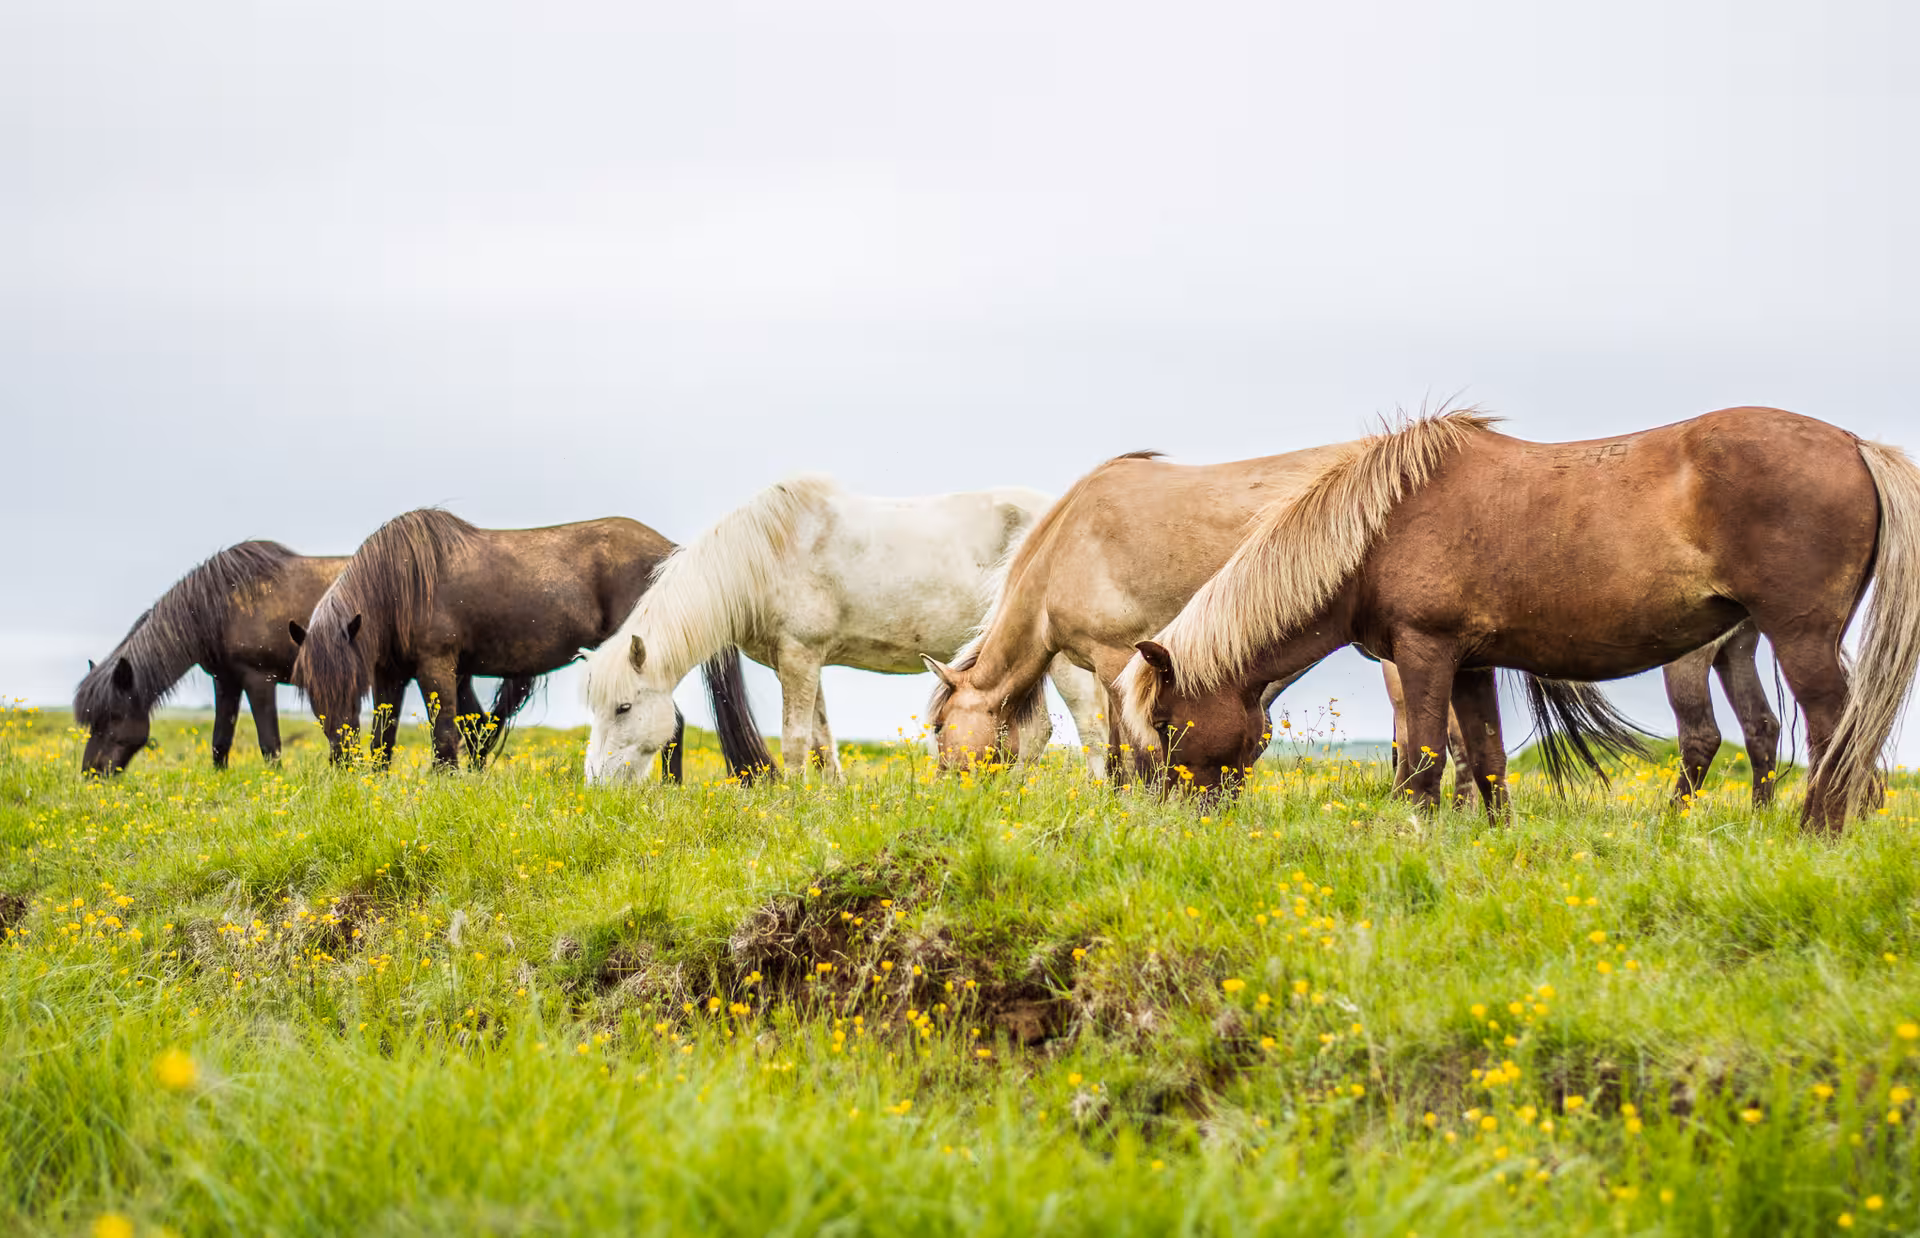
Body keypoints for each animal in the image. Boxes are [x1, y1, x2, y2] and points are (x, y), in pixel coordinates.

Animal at [74, 542, 349, 774]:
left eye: (111, 716)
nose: (90, 773)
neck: (221, 608)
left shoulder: (260, 680)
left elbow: (270, 744)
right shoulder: (226, 681)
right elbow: (220, 741)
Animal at [290, 508, 755, 778]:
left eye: (352, 690)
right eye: (313, 694)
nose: (340, 762)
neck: (402, 583)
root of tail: (672, 552)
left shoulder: (436, 667)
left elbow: (445, 733)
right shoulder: (394, 675)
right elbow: (391, 738)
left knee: (672, 724)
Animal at [582, 475, 1102, 785]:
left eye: (623, 707)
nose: (597, 782)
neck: (766, 554)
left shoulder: (799, 657)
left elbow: (794, 739)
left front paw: (790, 803)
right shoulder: (800, 662)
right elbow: (820, 739)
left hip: (1056, 659)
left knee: (1087, 725)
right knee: (1035, 732)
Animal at [1114, 407, 1919, 832]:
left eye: (1166, 724)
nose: (1170, 819)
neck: (1379, 527)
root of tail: (1854, 444)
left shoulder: (1425, 652)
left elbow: (1425, 759)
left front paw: (1412, 831)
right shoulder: (1470, 663)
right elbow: (1488, 757)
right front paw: (1492, 836)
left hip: (1798, 636)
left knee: (1832, 727)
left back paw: (1817, 831)